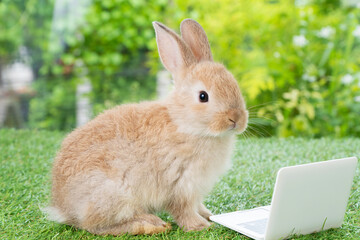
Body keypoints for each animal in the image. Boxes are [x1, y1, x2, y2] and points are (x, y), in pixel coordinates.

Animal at [44, 18, 248, 234]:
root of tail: (63, 207)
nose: (236, 119)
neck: (183, 123)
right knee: (97, 226)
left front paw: (208, 215)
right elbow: (183, 210)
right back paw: (151, 224)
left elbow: (197, 205)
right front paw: (201, 226)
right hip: (114, 195)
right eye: (203, 96)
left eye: (234, 84)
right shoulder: (180, 185)